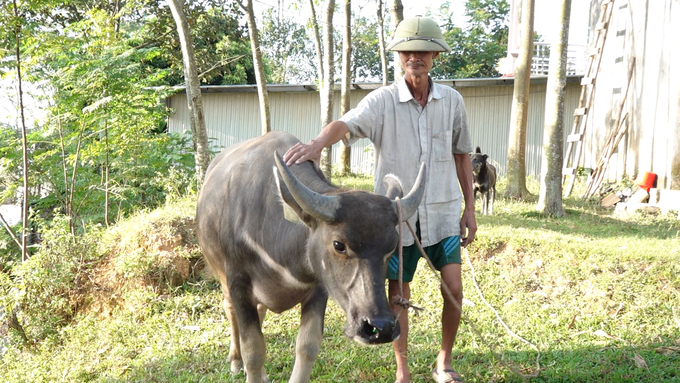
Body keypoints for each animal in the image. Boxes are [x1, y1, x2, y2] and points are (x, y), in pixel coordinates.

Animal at [194, 130, 424, 382]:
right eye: (339, 245)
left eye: (392, 247)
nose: (381, 327)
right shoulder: (238, 284)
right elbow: (253, 349)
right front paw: (246, 363)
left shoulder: (319, 289)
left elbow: (308, 346)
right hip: (222, 276)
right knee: (230, 310)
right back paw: (236, 361)